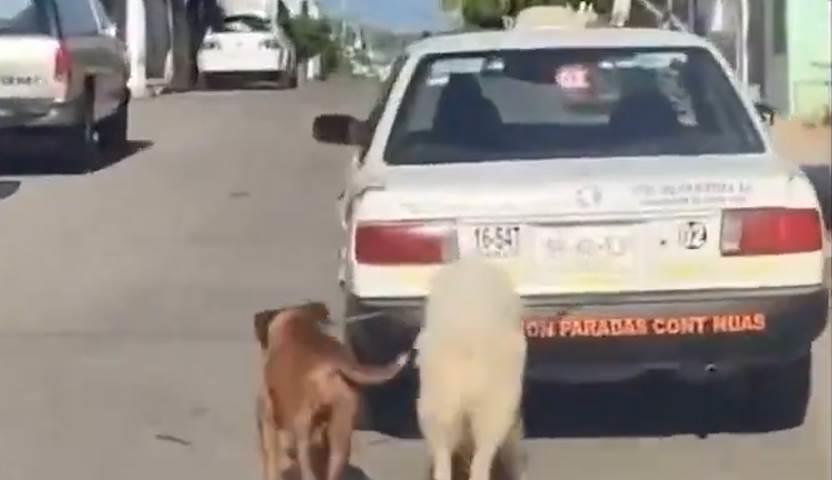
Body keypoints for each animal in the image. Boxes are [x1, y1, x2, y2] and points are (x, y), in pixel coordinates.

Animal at [255, 304, 408, 480]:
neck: (295, 322)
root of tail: (332, 364)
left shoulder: (267, 420)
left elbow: (271, 462)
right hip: (340, 433)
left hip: (303, 434)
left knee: (306, 467)